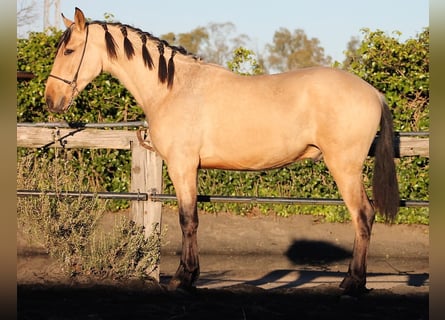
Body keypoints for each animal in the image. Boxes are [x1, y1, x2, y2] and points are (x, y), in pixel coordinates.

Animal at [45, 7, 398, 296]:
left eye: (70, 50)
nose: (51, 99)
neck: (174, 89)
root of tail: (373, 92)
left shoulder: (182, 166)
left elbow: (188, 220)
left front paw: (183, 278)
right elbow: (191, 219)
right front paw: (189, 276)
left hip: (344, 167)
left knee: (363, 215)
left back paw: (352, 283)